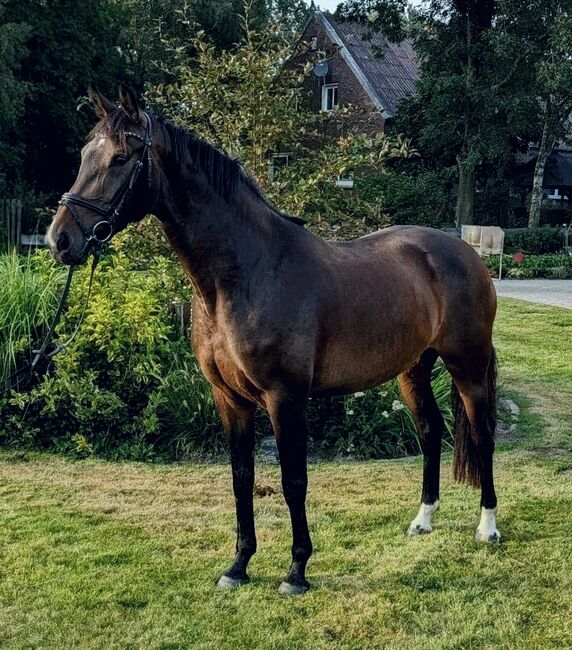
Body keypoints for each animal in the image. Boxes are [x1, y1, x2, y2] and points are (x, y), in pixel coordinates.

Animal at [46, 85, 500, 596]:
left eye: (121, 158)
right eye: (85, 154)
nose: (60, 240)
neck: (247, 272)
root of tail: (465, 252)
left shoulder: (285, 398)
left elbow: (292, 481)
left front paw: (297, 571)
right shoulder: (229, 399)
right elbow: (241, 478)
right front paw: (238, 565)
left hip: (467, 367)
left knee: (482, 434)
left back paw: (488, 527)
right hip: (413, 370)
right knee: (430, 430)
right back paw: (423, 520)